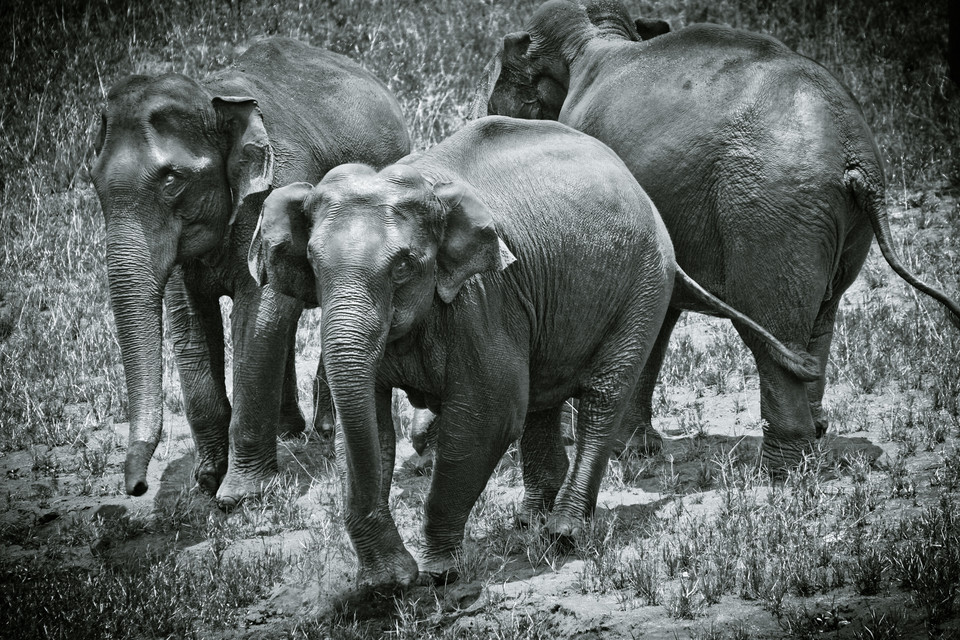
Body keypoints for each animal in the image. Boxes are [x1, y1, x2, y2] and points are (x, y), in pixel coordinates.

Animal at [91, 37, 416, 508]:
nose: (137, 487)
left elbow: (260, 313)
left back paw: (324, 431)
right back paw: (289, 431)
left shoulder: (276, 187)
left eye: (172, 180)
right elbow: (189, 321)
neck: (213, 96)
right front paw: (206, 482)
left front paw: (238, 497)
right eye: (93, 181)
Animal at [249, 116, 816, 592]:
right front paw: (386, 584)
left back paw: (562, 533)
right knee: (542, 400)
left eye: (405, 266)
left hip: (642, 282)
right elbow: (368, 422)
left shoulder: (483, 298)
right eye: (315, 266)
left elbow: (489, 415)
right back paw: (531, 519)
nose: (398, 579)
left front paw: (437, 575)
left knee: (602, 396)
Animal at [474, 0, 960, 470]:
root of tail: (853, 149)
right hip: (835, 220)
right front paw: (634, 450)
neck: (596, 41)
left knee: (771, 323)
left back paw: (785, 470)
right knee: (820, 318)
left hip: (771, 208)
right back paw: (814, 438)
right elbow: (655, 316)